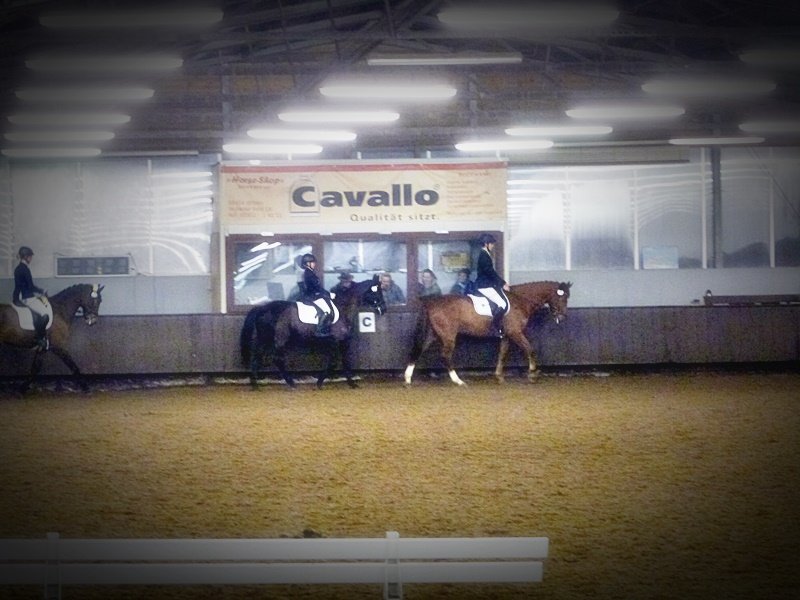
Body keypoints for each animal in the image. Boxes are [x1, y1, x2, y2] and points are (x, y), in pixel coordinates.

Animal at [240, 275, 386, 389]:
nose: (383, 309)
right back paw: (290, 383)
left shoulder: (337, 342)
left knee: (257, 357)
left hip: (265, 338)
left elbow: (339, 361)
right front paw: (325, 383)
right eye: (377, 292)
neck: (342, 309)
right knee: (276, 359)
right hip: (278, 338)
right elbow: (337, 362)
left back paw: (255, 384)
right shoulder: (337, 340)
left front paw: (346, 382)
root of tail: (262, 308)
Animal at [404, 280, 572, 386]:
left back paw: (407, 379)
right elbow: (530, 350)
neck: (520, 300)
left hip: (433, 334)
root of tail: (431, 302)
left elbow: (502, 354)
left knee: (419, 349)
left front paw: (499, 377)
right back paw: (458, 381)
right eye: (562, 298)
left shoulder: (507, 335)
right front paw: (532, 374)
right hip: (448, 335)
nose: (563, 317)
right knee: (445, 356)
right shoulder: (516, 333)